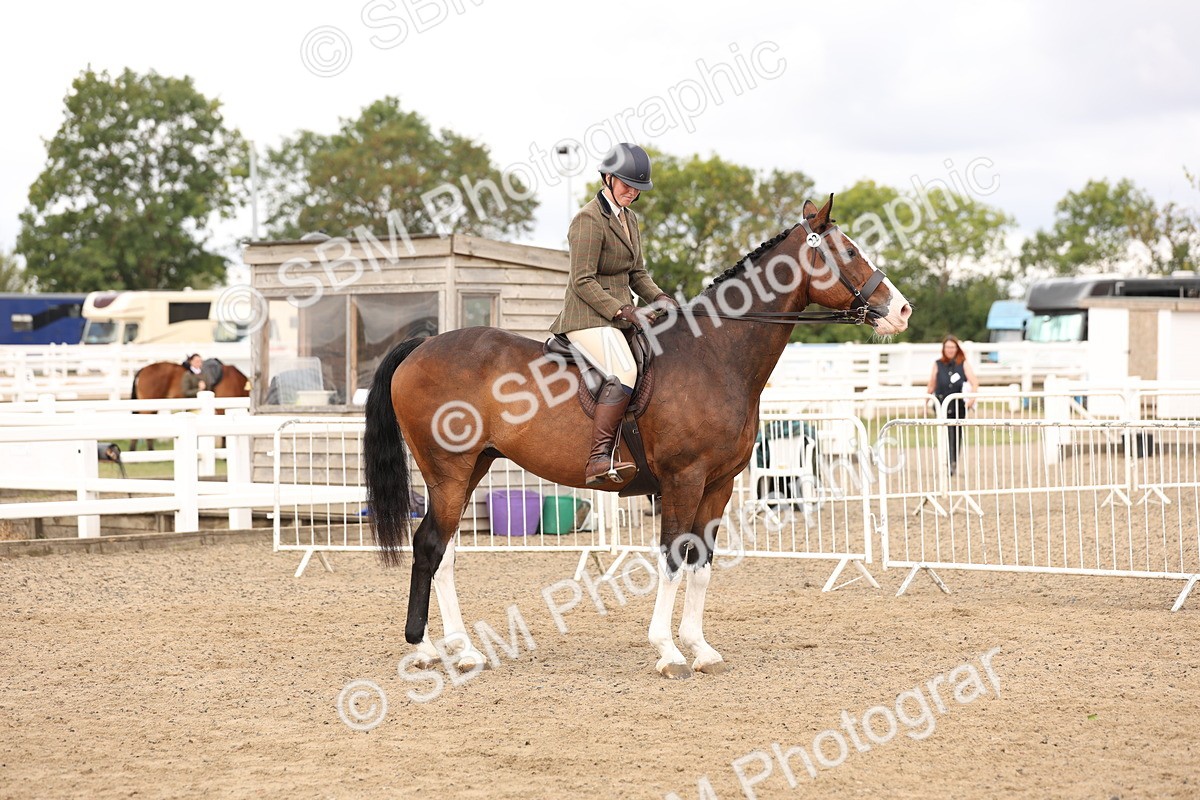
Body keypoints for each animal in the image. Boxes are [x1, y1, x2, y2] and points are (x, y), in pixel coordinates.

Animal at [363, 196, 912, 679]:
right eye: (849, 252)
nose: (902, 310)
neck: (715, 354)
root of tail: (420, 347)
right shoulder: (683, 480)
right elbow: (671, 559)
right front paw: (668, 652)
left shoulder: (719, 485)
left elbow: (701, 563)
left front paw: (700, 648)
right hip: (448, 470)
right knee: (432, 545)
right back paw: (436, 650)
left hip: (473, 466)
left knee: (444, 550)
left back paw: (450, 648)